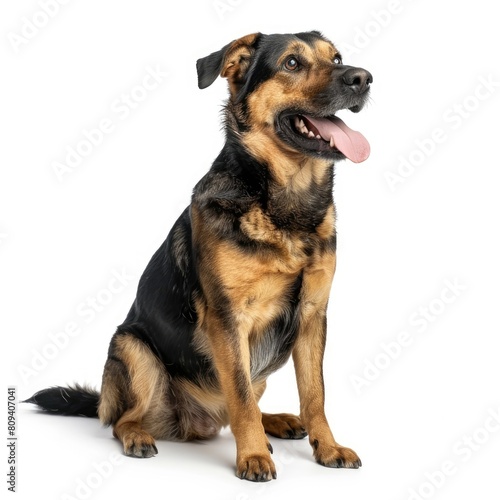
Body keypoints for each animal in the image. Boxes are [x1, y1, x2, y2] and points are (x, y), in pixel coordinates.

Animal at [25, 30, 374, 480]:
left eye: (338, 58)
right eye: (292, 63)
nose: (363, 78)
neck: (285, 204)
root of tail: (195, 421)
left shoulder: (313, 317)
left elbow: (315, 395)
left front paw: (327, 447)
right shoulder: (228, 319)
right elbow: (240, 395)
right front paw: (253, 456)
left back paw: (276, 422)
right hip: (133, 349)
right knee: (123, 419)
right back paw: (139, 435)